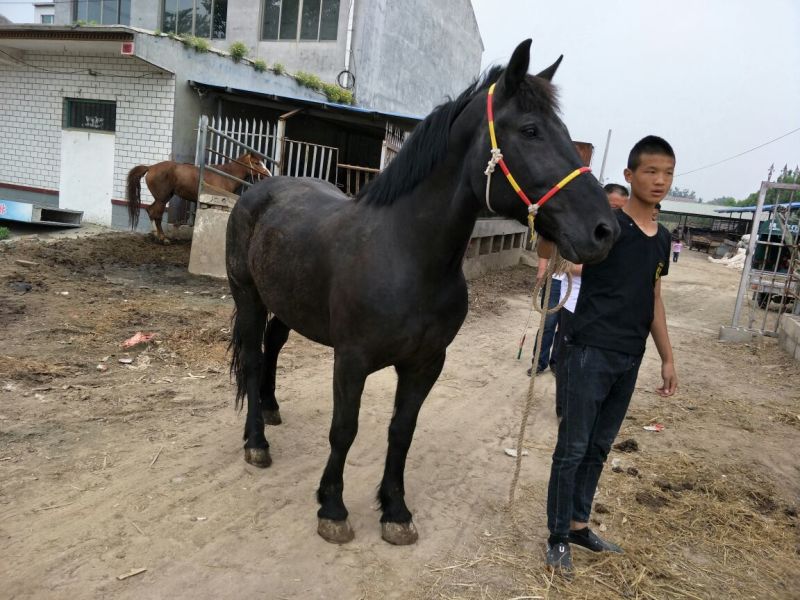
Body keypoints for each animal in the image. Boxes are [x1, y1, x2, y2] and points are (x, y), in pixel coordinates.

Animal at [126, 151, 270, 243]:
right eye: (256, 163)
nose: (268, 174)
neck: (225, 175)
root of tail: (150, 167)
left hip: (162, 198)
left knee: (150, 211)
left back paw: (156, 235)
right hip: (162, 199)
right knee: (156, 215)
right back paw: (163, 238)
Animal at [226, 40, 619, 546]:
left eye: (565, 133)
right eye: (531, 130)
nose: (603, 231)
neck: (408, 255)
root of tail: (259, 189)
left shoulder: (426, 363)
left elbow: (402, 431)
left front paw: (395, 511)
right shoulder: (351, 361)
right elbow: (344, 429)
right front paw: (332, 508)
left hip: (289, 303)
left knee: (273, 345)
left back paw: (272, 409)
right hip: (249, 297)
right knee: (254, 360)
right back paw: (257, 442)